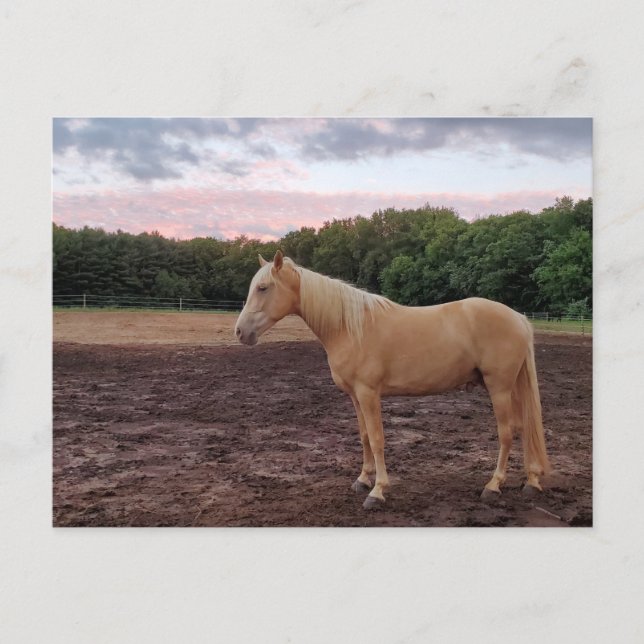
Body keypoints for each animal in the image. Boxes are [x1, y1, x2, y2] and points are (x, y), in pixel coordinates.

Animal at [234, 250, 550, 510]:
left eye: (263, 288)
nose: (240, 332)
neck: (350, 327)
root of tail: (519, 318)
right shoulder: (355, 396)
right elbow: (363, 436)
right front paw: (363, 480)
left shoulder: (368, 394)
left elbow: (377, 439)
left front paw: (377, 491)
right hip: (511, 387)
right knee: (524, 428)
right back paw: (531, 482)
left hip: (499, 387)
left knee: (507, 433)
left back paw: (493, 486)